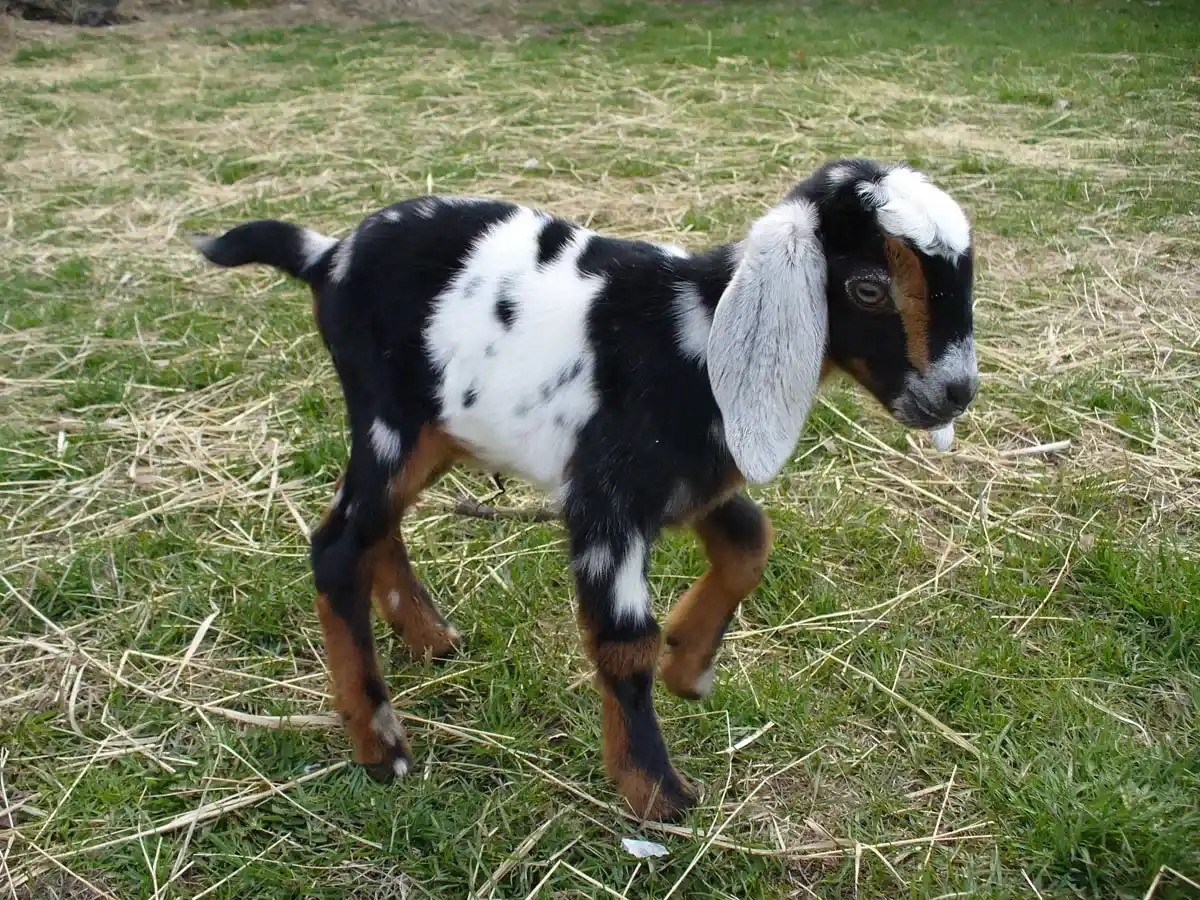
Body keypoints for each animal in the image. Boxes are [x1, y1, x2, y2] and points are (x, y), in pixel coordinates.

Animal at [191, 158, 979, 822]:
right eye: (868, 287)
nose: (956, 394)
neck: (697, 331)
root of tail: (328, 256)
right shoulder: (608, 500)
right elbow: (624, 640)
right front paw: (655, 791)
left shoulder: (689, 483)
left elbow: (751, 544)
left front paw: (689, 665)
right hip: (390, 420)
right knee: (336, 547)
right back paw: (380, 743)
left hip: (436, 432)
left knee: (374, 526)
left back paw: (429, 637)